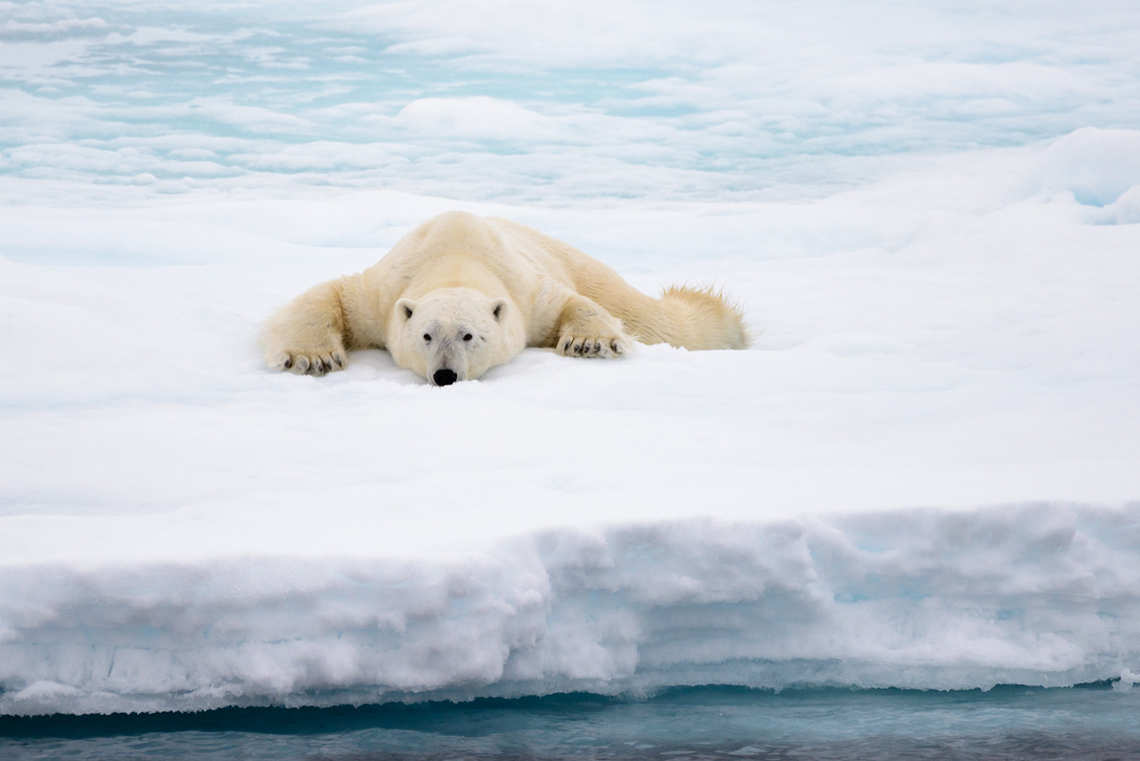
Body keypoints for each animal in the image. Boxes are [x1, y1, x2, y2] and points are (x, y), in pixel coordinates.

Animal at [261, 211, 749, 385]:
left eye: (469, 335)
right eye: (425, 335)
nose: (445, 376)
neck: (455, 256)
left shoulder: (526, 291)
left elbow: (570, 302)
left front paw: (588, 343)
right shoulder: (382, 291)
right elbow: (332, 295)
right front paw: (313, 358)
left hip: (578, 262)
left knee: (657, 317)